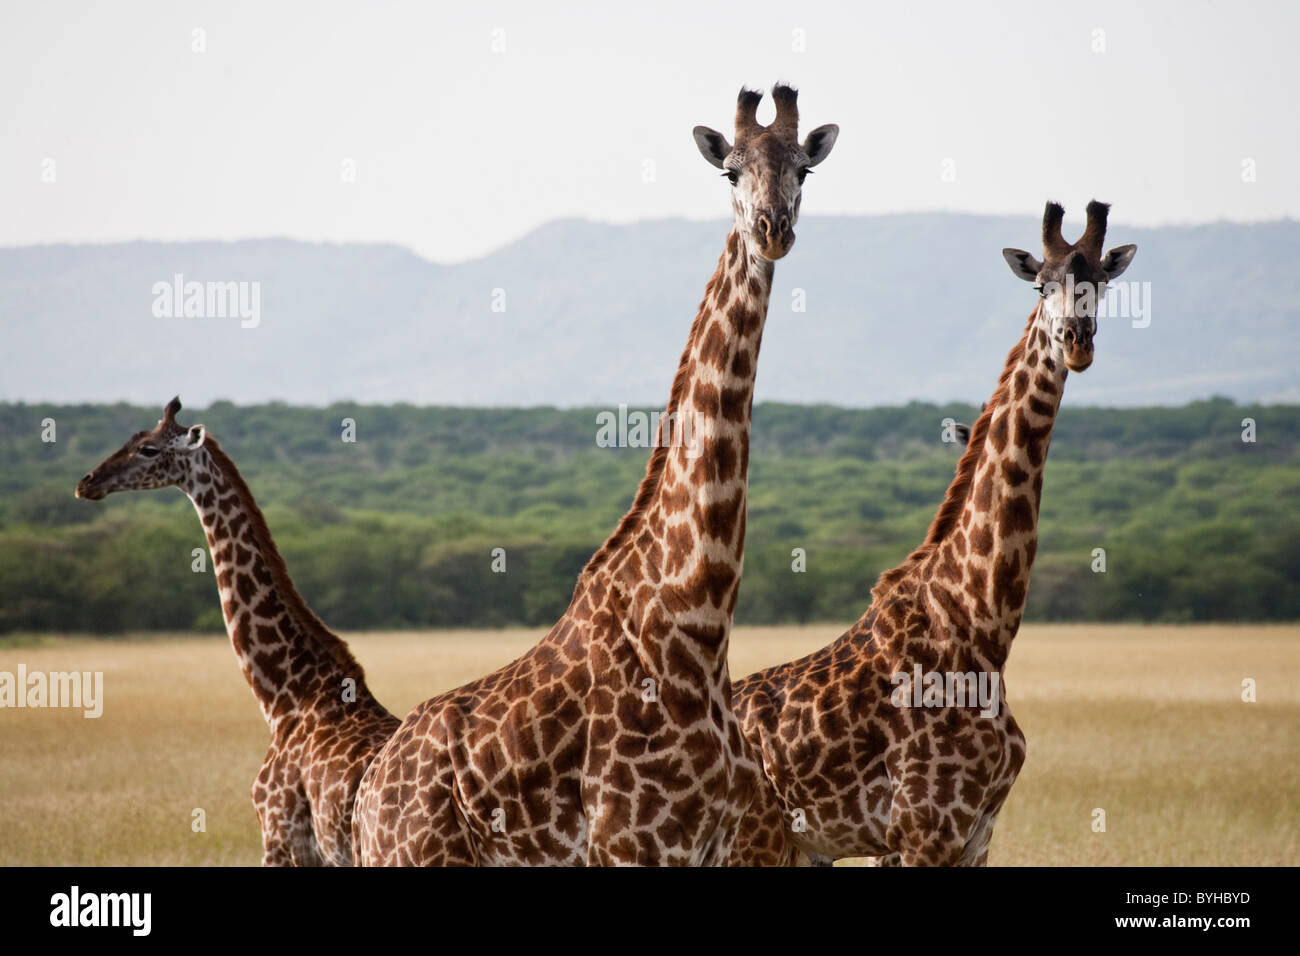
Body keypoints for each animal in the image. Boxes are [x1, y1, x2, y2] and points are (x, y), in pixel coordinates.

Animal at [353, 87, 842, 868]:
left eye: (805, 168)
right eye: (729, 170)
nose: (773, 230)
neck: (698, 624)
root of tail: (368, 799)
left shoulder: (713, 843)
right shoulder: (631, 843)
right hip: (418, 856)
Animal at [728, 201, 1133, 868]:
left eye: (1101, 282)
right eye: (1041, 284)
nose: (1077, 344)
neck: (980, 627)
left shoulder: (975, 834)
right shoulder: (923, 827)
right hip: (746, 842)